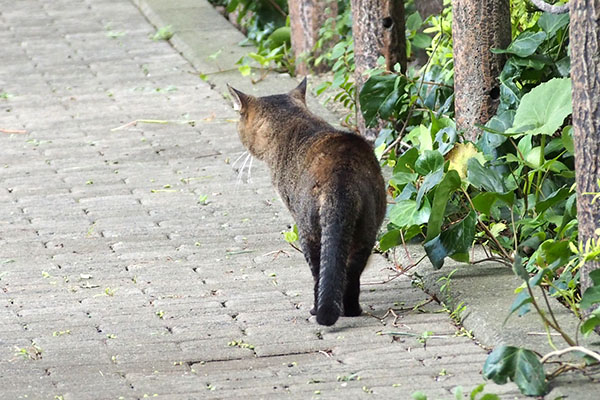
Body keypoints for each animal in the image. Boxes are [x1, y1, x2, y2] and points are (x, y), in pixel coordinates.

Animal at [227, 78, 386, 324]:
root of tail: (341, 177)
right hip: (366, 231)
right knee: (351, 272)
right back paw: (352, 310)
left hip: (309, 231)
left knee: (319, 272)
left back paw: (317, 310)